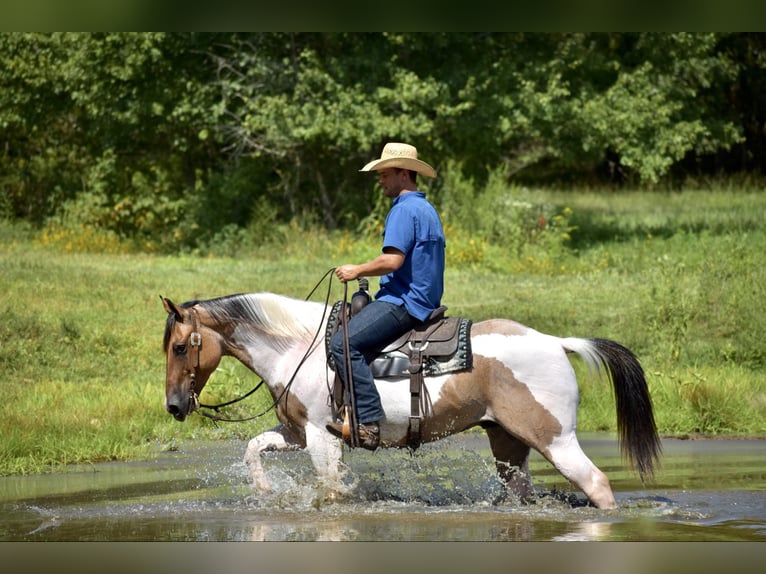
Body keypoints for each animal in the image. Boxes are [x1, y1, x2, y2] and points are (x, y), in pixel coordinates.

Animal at [160, 292, 660, 508]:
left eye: (181, 347)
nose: (174, 406)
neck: (298, 347)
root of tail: (557, 342)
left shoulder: (322, 436)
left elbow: (331, 489)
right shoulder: (297, 433)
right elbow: (254, 448)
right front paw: (265, 491)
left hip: (555, 439)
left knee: (597, 484)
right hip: (508, 442)